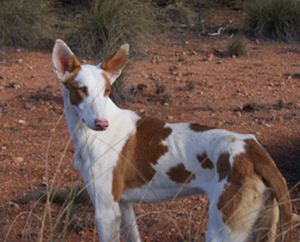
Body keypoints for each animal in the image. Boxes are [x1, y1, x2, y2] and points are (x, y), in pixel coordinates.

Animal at [52, 39, 292, 242]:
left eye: (107, 91)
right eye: (81, 90)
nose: (102, 124)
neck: (88, 135)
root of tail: (254, 150)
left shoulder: (106, 211)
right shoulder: (125, 206)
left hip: (223, 230)